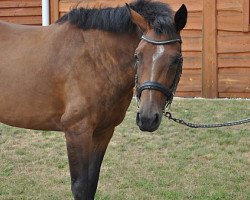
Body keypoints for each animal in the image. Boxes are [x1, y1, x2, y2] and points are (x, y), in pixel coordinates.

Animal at [0, 0, 187, 199]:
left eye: (176, 59)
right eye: (137, 55)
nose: (147, 118)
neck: (95, 59)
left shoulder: (103, 131)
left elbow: (91, 184)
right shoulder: (77, 132)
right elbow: (81, 187)